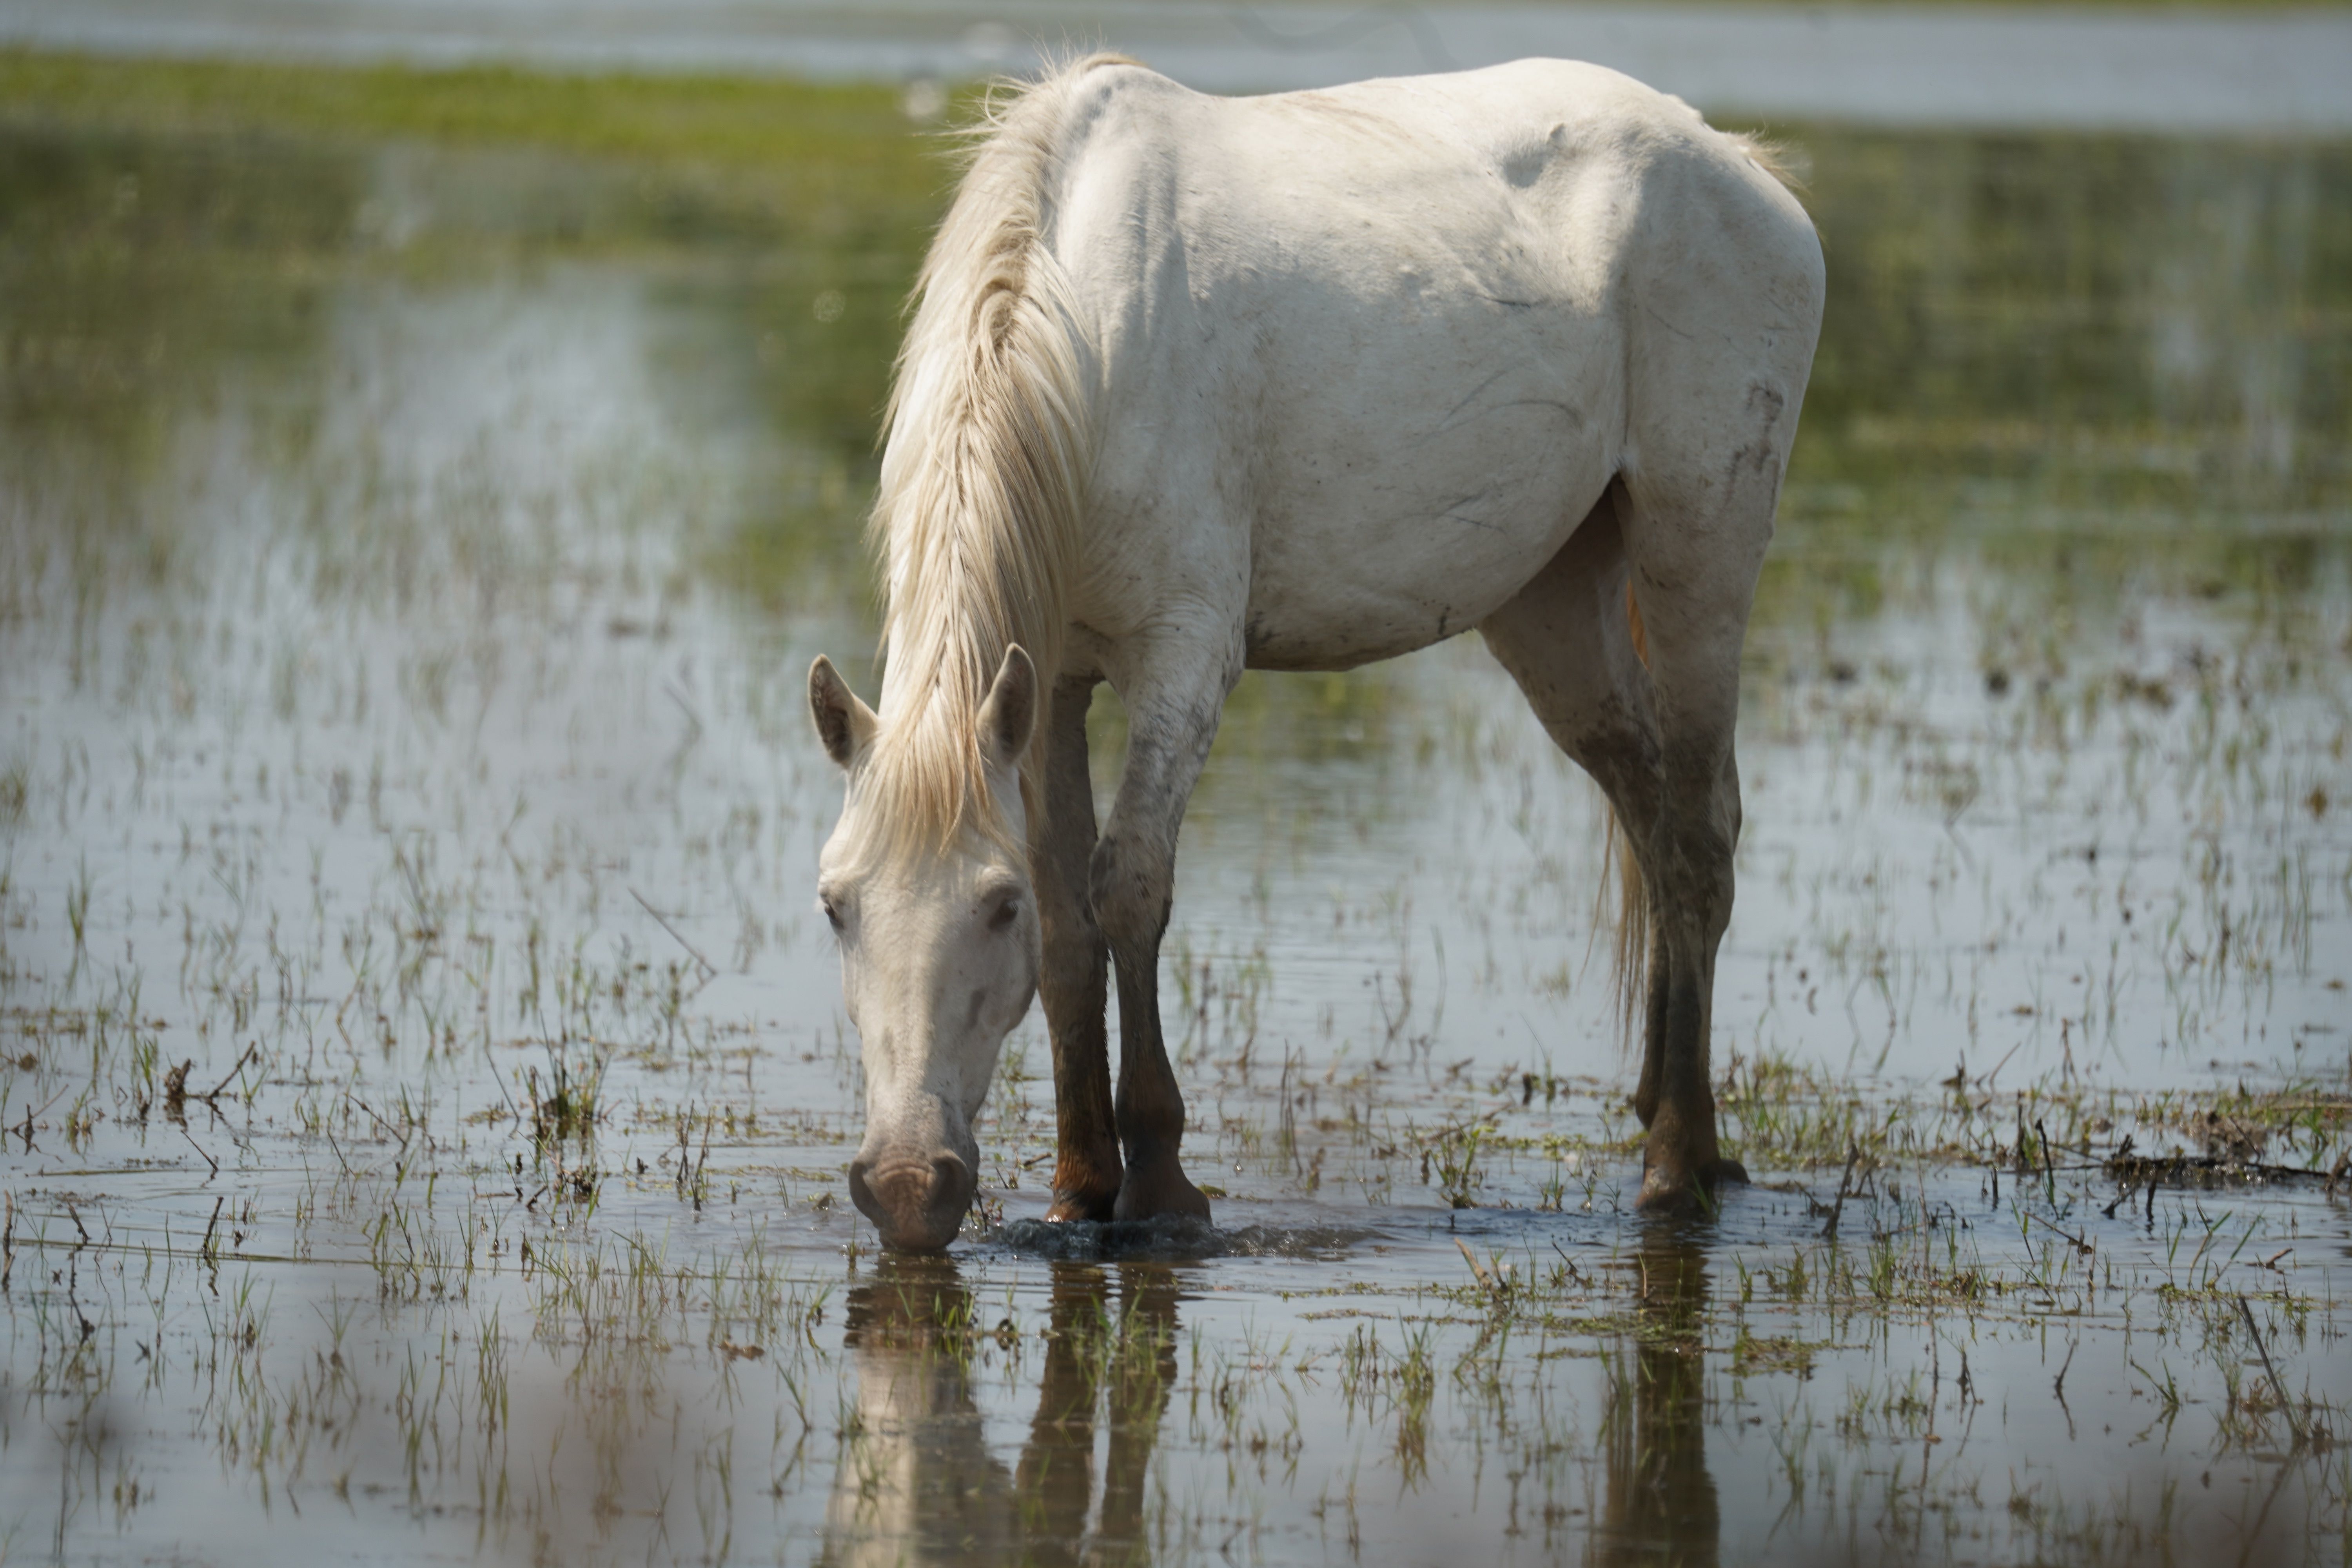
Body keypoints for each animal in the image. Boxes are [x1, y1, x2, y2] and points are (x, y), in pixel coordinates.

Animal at [807, 52, 1824, 1250]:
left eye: (990, 905)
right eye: (836, 906)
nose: (908, 1186)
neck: (1086, 341)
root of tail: (1739, 164)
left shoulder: (1184, 658)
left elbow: (1127, 887)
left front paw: (1160, 1179)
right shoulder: (1049, 683)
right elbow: (1072, 932)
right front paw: (1079, 1184)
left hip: (1698, 556)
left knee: (1699, 837)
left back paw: (1678, 1161)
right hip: (1555, 608)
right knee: (1652, 816)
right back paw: (1672, 1114)